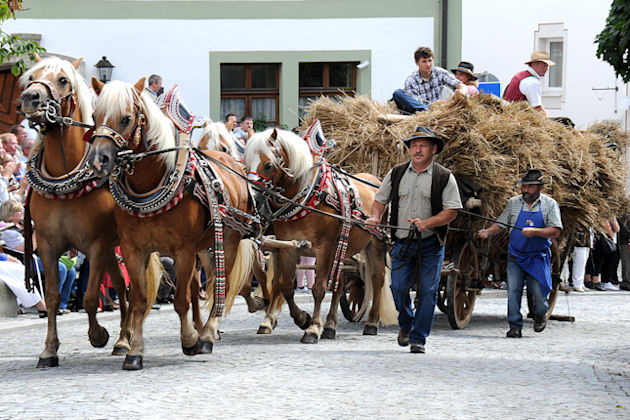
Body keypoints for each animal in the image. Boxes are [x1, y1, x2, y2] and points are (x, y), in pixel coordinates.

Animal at [16, 55, 158, 368]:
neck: (64, 175)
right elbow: (53, 297)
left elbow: (91, 297)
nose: (31, 97)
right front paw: (49, 350)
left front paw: (98, 335)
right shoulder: (47, 247)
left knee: (126, 288)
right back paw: (123, 338)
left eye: (62, 80)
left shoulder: (96, 245)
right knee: (120, 285)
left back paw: (123, 339)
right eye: (30, 77)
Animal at [87, 77, 256, 370]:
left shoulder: (183, 250)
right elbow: (140, 300)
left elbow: (180, 301)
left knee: (217, 286)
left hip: (228, 240)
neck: (152, 182)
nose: (98, 160)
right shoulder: (134, 250)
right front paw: (135, 351)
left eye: (126, 118)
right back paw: (201, 329)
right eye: (95, 116)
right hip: (204, 247)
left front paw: (189, 340)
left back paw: (207, 334)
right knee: (200, 286)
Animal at [244, 129, 398, 344]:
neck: (306, 197)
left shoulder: (324, 249)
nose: (254, 200)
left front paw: (313, 328)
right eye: (245, 164)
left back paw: (371, 323)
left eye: (268, 165)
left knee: (377, 278)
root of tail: (376, 181)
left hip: (374, 243)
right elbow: (284, 285)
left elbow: (318, 288)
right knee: (340, 284)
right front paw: (302, 319)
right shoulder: (288, 248)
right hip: (343, 248)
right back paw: (331, 326)